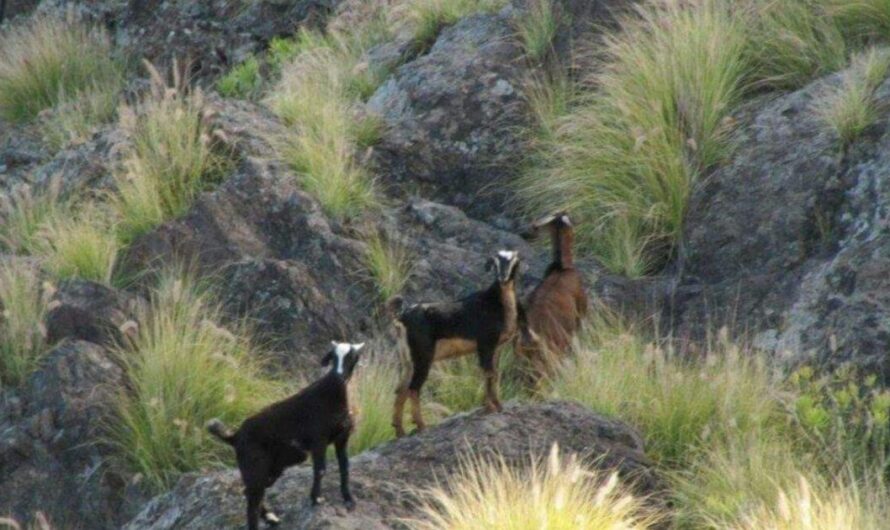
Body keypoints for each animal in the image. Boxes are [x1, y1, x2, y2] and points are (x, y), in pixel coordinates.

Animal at [206, 340, 362, 524]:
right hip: (254, 466)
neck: (334, 394)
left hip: (274, 467)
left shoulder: (342, 438)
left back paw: (270, 517)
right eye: (333, 357)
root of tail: (235, 436)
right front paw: (316, 499)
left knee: (250, 492)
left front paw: (349, 499)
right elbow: (320, 469)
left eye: (351, 356)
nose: (338, 376)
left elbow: (345, 467)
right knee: (253, 500)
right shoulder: (319, 439)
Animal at [388, 250, 520, 436]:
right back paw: (422, 425)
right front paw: (491, 408)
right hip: (423, 357)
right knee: (414, 388)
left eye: (513, 259)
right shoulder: (485, 344)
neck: (496, 303)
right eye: (495, 262)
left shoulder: (497, 348)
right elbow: (488, 373)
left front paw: (498, 406)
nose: (503, 276)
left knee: (401, 389)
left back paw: (400, 431)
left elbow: (494, 374)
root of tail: (402, 317)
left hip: (407, 360)